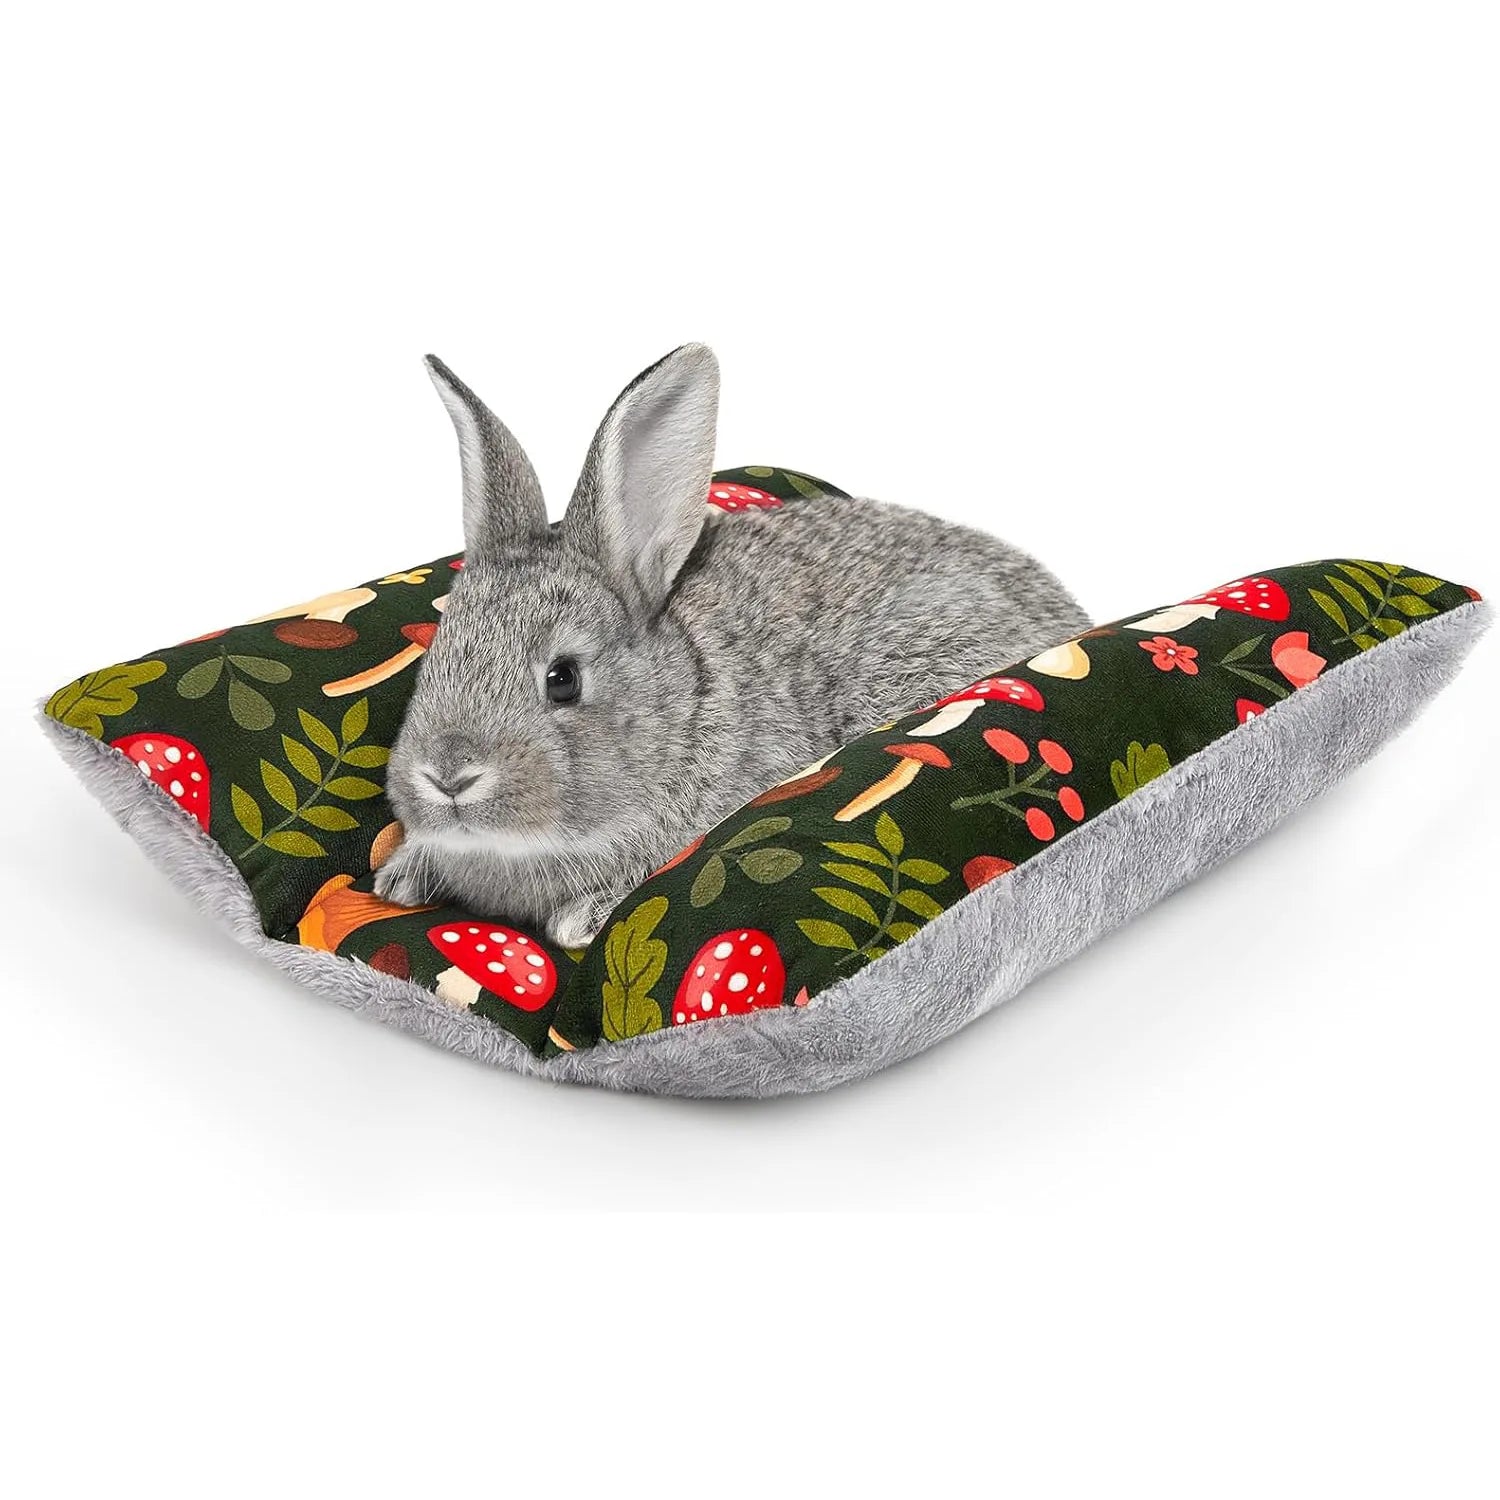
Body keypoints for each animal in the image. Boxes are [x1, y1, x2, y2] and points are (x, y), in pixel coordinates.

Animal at [375, 344, 1091, 947]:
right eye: (436, 657)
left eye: (563, 678)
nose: (449, 777)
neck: (682, 708)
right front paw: (401, 876)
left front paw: (583, 919)